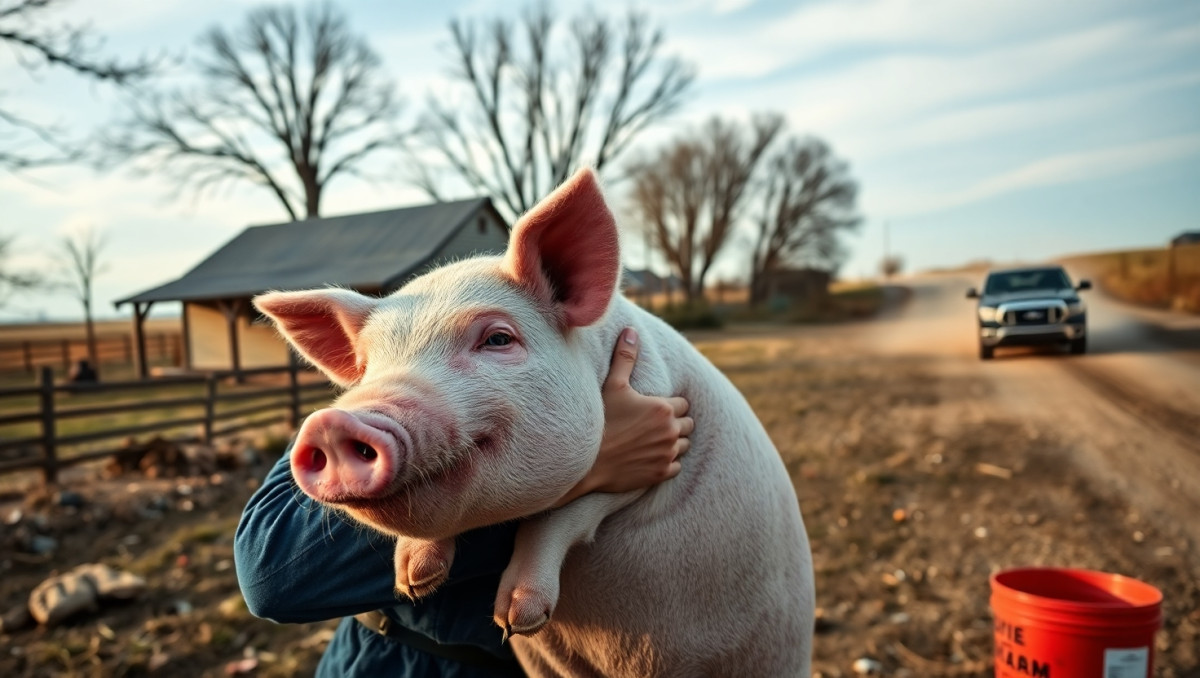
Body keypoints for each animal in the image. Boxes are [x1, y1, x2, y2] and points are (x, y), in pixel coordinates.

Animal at [253, 168, 814, 677]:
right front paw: (413, 580)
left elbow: (560, 513)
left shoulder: (654, 446)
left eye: (498, 339)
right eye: (367, 366)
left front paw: (516, 619)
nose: (330, 424)